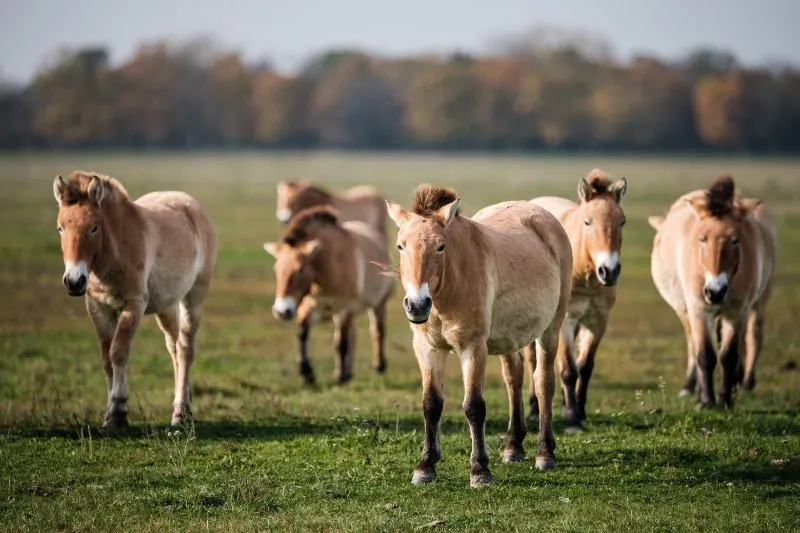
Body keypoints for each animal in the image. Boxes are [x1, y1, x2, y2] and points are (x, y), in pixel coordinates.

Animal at [52, 170, 217, 428]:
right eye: (60, 228)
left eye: (94, 228)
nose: (74, 281)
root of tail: (192, 204)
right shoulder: (98, 308)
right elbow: (106, 359)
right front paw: (109, 414)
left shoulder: (134, 305)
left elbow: (119, 351)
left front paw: (117, 412)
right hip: (166, 305)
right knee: (174, 346)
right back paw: (185, 404)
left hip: (194, 298)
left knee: (185, 348)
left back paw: (180, 412)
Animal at [264, 204, 396, 382]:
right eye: (276, 269)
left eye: (300, 270)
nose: (282, 310)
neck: (330, 265)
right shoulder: (313, 306)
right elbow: (302, 331)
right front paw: (306, 372)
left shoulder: (344, 309)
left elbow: (340, 342)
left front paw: (339, 376)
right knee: (353, 335)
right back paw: (349, 372)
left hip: (378, 304)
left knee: (377, 331)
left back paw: (378, 366)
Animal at [386, 183, 568, 486]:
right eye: (401, 246)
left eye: (441, 246)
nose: (417, 304)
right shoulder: (427, 349)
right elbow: (431, 404)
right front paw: (425, 466)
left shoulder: (473, 348)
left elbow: (474, 406)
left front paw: (480, 470)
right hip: (509, 339)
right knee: (513, 379)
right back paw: (513, 446)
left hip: (551, 329)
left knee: (543, 382)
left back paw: (545, 453)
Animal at [528, 170, 628, 432]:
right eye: (587, 222)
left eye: (622, 222)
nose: (609, 271)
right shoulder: (566, 321)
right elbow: (568, 370)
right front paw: (572, 418)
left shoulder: (598, 321)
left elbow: (585, 367)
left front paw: (579, 412)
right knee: (533, 361)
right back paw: (533, 409)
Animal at [648, 176, 776, 408]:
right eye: (702, 238)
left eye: (735, 240)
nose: (715, 291)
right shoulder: (699, 310)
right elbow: (705, 354)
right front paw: (707, 401)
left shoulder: (736, 312)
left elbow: (729, 356)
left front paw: (725, 399)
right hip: (685, 310)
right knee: (693, 344)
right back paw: (692, 388)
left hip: (759, 302)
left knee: (753, 336)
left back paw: (743, 382)